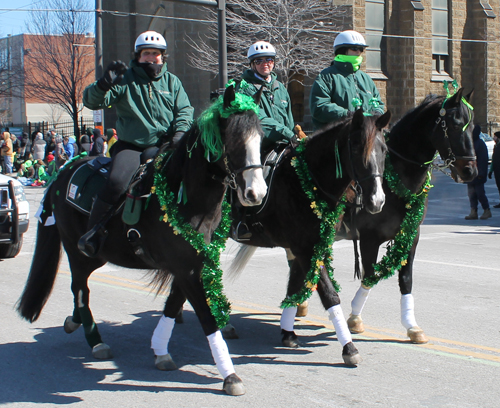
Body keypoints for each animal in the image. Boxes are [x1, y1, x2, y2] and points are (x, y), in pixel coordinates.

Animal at [18, 86, 270, 396]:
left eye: (260, 138)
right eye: (233, 139)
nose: (256, 193)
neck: (183, 196)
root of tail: (63, 172)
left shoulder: (192, 263)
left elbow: (173, 306)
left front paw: (160, 350)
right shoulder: (185, 268)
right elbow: (206, 316)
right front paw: (230, 375)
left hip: (96, 257)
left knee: (80, 290)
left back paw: (73, 322)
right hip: (80, 252)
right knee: (80, 289)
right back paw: (96, 341)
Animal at [155, 108, 390, 366]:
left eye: (384, 150)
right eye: (357, 148)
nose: (377, 201)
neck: (304, 180)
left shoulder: (306, 246)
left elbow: (295, 287)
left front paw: (288, 333)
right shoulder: (305, 248)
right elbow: (329, 294)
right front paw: (348, 347)